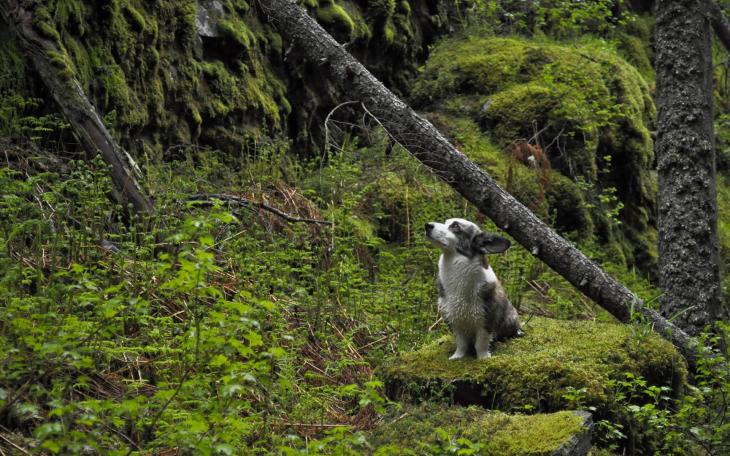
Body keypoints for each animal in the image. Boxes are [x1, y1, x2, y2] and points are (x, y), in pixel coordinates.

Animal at [424, 218, 520, 360]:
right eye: (446, 222)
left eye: (455, 226)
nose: (427, 225)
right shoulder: (454, 321)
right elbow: (461, 343)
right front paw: (457, 356)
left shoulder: (486, 320)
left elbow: (481, 343)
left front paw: (483, 358)